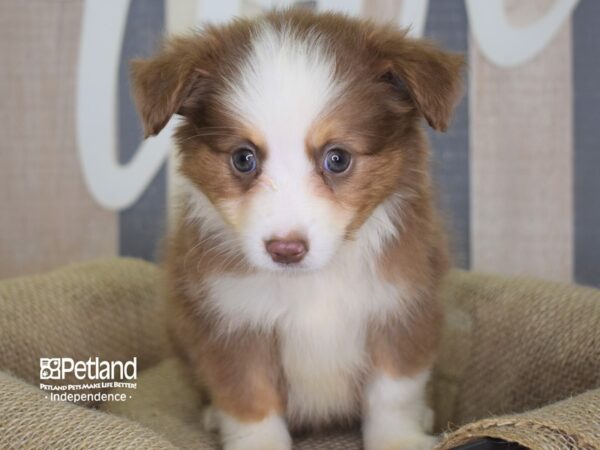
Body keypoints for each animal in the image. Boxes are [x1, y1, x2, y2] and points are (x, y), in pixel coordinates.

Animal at [132, 7, 464, 450]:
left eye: (337, 158)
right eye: (243, 158)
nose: (285, 249)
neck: (312, 283)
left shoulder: (401, 308)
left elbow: (394, 394)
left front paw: (399, 441)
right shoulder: (232, 323)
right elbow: (250, 401)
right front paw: (257, 442)